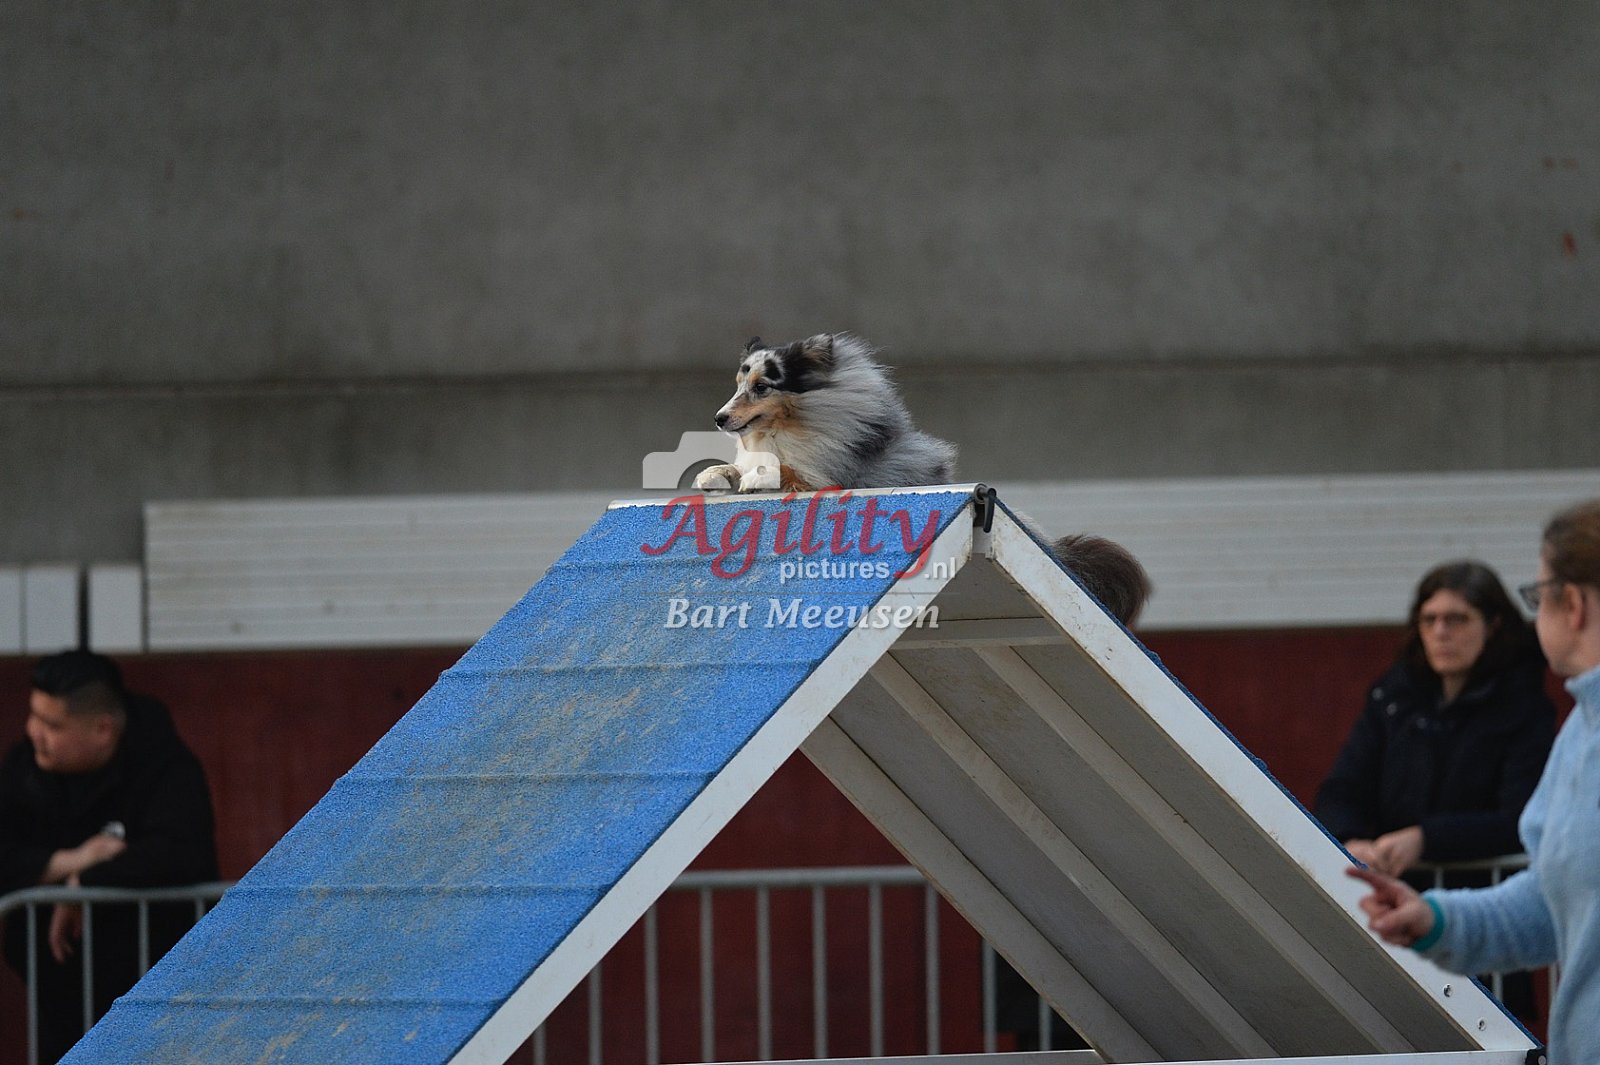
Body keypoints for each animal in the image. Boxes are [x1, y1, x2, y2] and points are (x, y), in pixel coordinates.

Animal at [695, 332, 1150, 624]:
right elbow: (736, 466)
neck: (794, 422)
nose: (718, 419)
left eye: (761, 387)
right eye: (738, 385)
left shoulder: (828, 476)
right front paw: (713, 474)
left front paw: (757, 477)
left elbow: (787, 470)